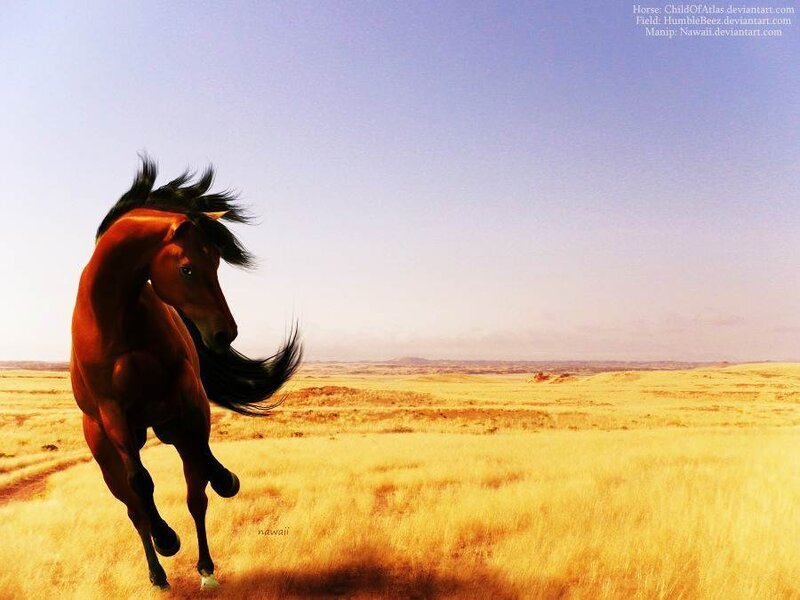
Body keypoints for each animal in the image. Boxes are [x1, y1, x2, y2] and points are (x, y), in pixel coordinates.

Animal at [69, 158, 301, 589]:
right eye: (188, 269)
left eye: (217, 263)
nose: (225, 333)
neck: (117, 323)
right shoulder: (113, 413)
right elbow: (141, 483)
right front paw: (166, 539)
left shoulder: (185, 397)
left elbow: (200, 469)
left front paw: (225, 481)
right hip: (106, 450)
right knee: (134, 509)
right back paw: (158, 572)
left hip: (168, 422)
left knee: (197, 492)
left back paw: (207, 566)